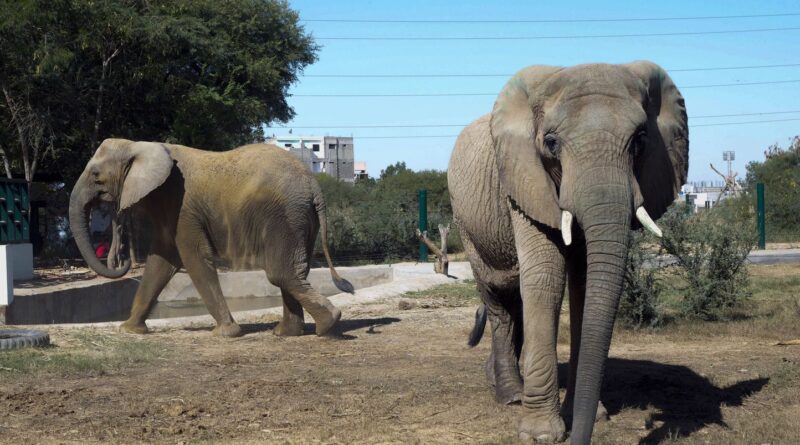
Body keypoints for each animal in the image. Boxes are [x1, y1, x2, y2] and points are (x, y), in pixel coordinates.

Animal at [69, 139, 354, 336]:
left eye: (96, 175)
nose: (121, 259)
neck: (139, 144)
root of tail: (314, 185)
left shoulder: (183, 207)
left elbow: (194, 258)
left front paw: (226, 333)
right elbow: (161, 262)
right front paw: (129, 330)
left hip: (285, 216)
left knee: (280, 272)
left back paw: (328, 324)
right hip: (300, 218)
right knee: (292, 271)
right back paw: (288, 333)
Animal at [450, 60, 688, 442]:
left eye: (640, 140)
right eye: (550, 143)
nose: (581, 437)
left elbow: (585, 282)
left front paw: (590, 416)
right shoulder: (524, 182)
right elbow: (546, 277)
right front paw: (541, 435)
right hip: (467, 224)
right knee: (499, 298)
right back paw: (510, 394)